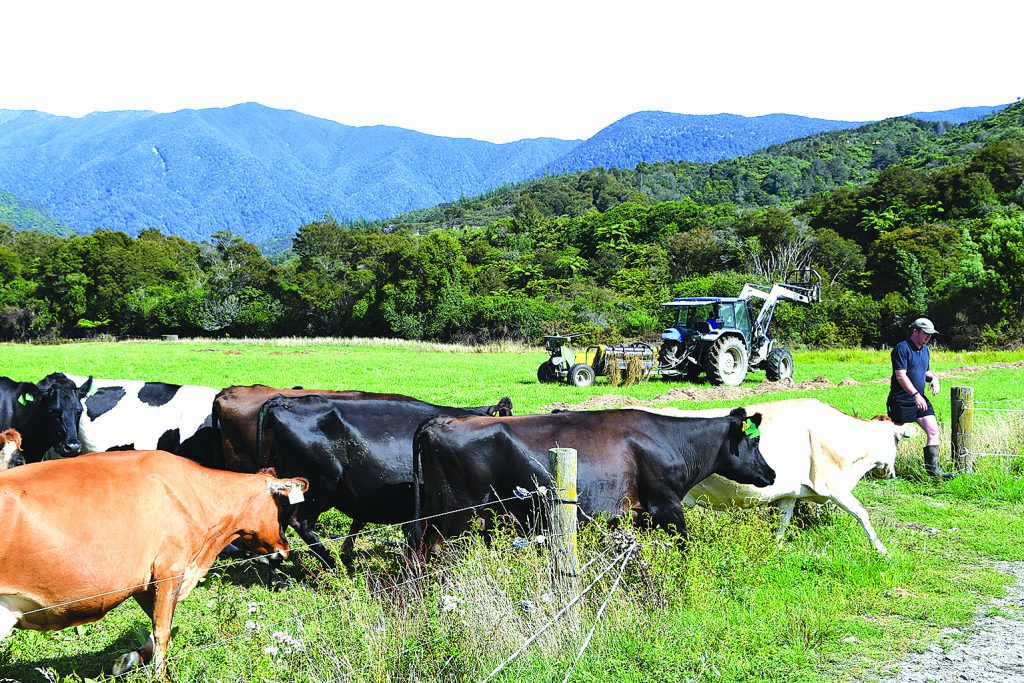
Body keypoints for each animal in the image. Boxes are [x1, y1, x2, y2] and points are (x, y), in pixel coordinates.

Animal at [0, 448, 307, 679]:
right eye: (281, 505)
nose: (285, 547)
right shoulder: (169, 570)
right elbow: (162, 631)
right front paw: (160, 675)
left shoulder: (144, 581)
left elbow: (155, 627)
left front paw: (128, 660)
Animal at [247, 389, 516, 577]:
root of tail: (285, 401)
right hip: (319, 484)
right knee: (300, 522)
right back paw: (334, 565)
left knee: (279, 523)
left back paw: (278, 576)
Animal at [403, 405, 770, 557]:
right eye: (753, 442)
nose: (772, 473)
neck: (669, 440)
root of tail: (441, 420)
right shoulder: (665, 504)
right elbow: (685, 544)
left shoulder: (627, 515)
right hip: (455, 513)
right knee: (430, 549)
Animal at [638, 401, 921, 557]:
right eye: (897, 440)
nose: (890, 473)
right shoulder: (833, 485)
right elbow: (861, 513)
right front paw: (881, 550)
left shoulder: (791, 492)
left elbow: (784, 520)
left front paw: (776, 546)